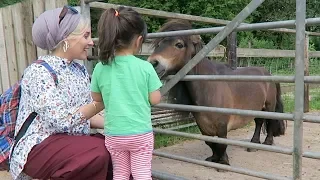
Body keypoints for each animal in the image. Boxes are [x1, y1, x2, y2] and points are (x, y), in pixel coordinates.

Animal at [146, 19, 286, 166]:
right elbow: (211, 143)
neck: (209, 87)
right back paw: (254, 143)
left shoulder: (222, 125)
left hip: (269, 106)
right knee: (259, 122)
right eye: (159, 44)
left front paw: (223, 162)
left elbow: (222, 143)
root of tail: (268, 73)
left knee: (269, 122)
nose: (153, 63)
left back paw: (266, 142)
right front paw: (214, 158)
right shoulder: (203, 125)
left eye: (179, 44)